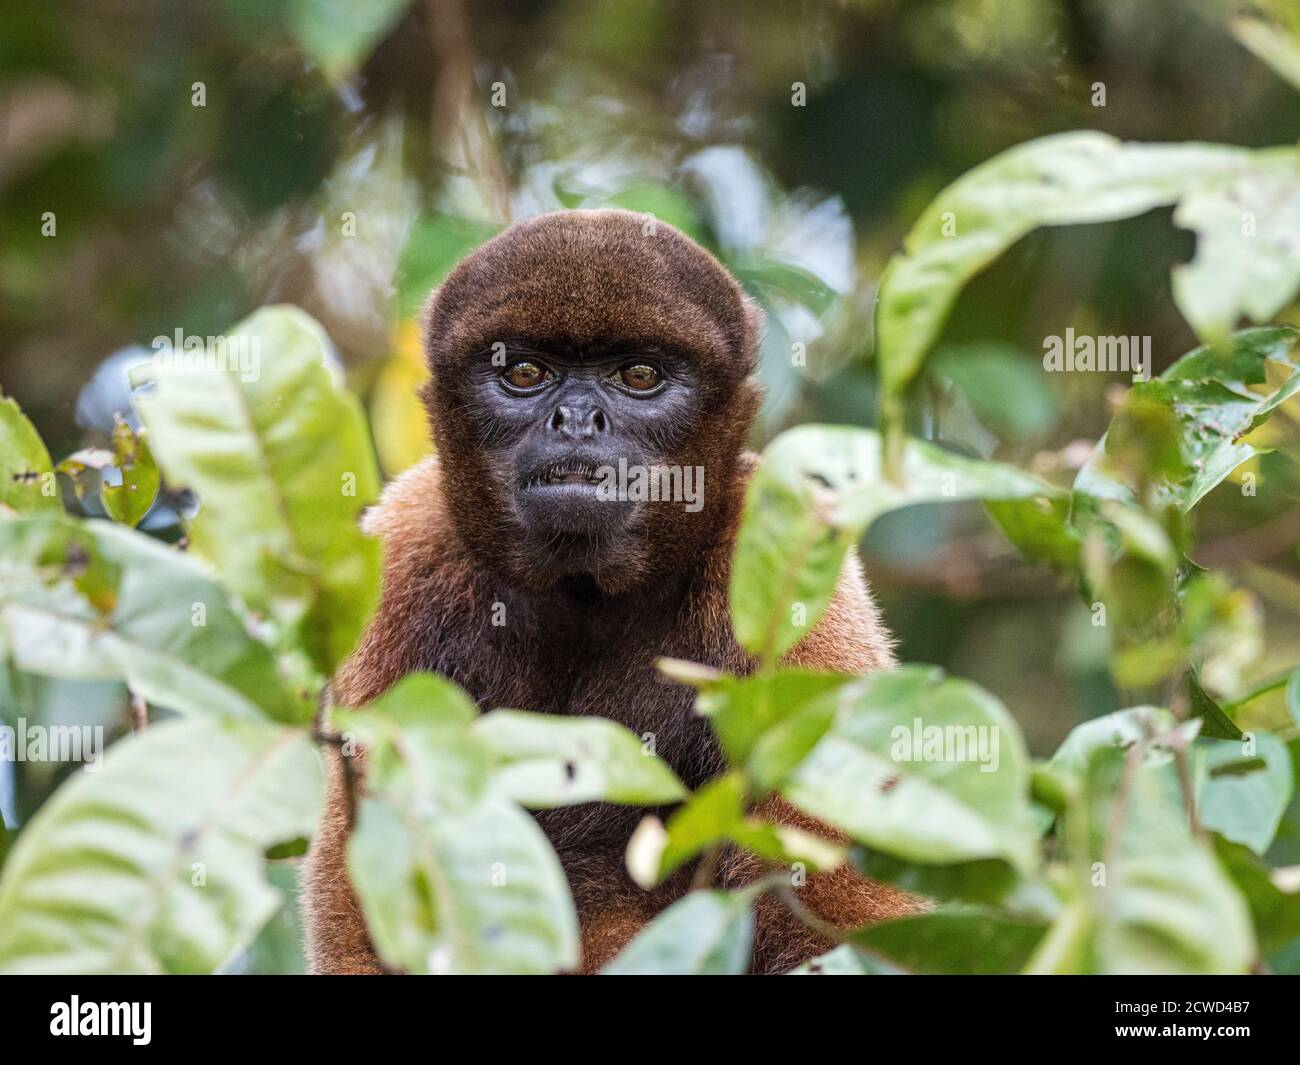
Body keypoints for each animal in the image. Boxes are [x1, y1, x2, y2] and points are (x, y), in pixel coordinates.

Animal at [301, 206, 915, 972]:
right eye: (525, 372)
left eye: (640, 375)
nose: (575, 420)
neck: (584, 592)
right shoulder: (403, 553)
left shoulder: (779, 551)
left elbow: (833, 908)